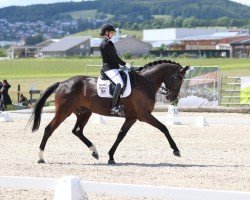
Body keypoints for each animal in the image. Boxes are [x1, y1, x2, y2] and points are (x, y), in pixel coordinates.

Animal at [29, 60, 188, 165]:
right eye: (179, 79)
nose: (172, 98)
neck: (144, 83)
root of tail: (62, 83)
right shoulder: (144, 115)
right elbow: (164, 128)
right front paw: (176, 150)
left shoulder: (132, 118)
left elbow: (120, 135)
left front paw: (111, 156)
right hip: (63, 112)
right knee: (49, 129)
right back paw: (40, 157)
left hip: (84, 113)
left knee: (77, 131)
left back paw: (94, 152)